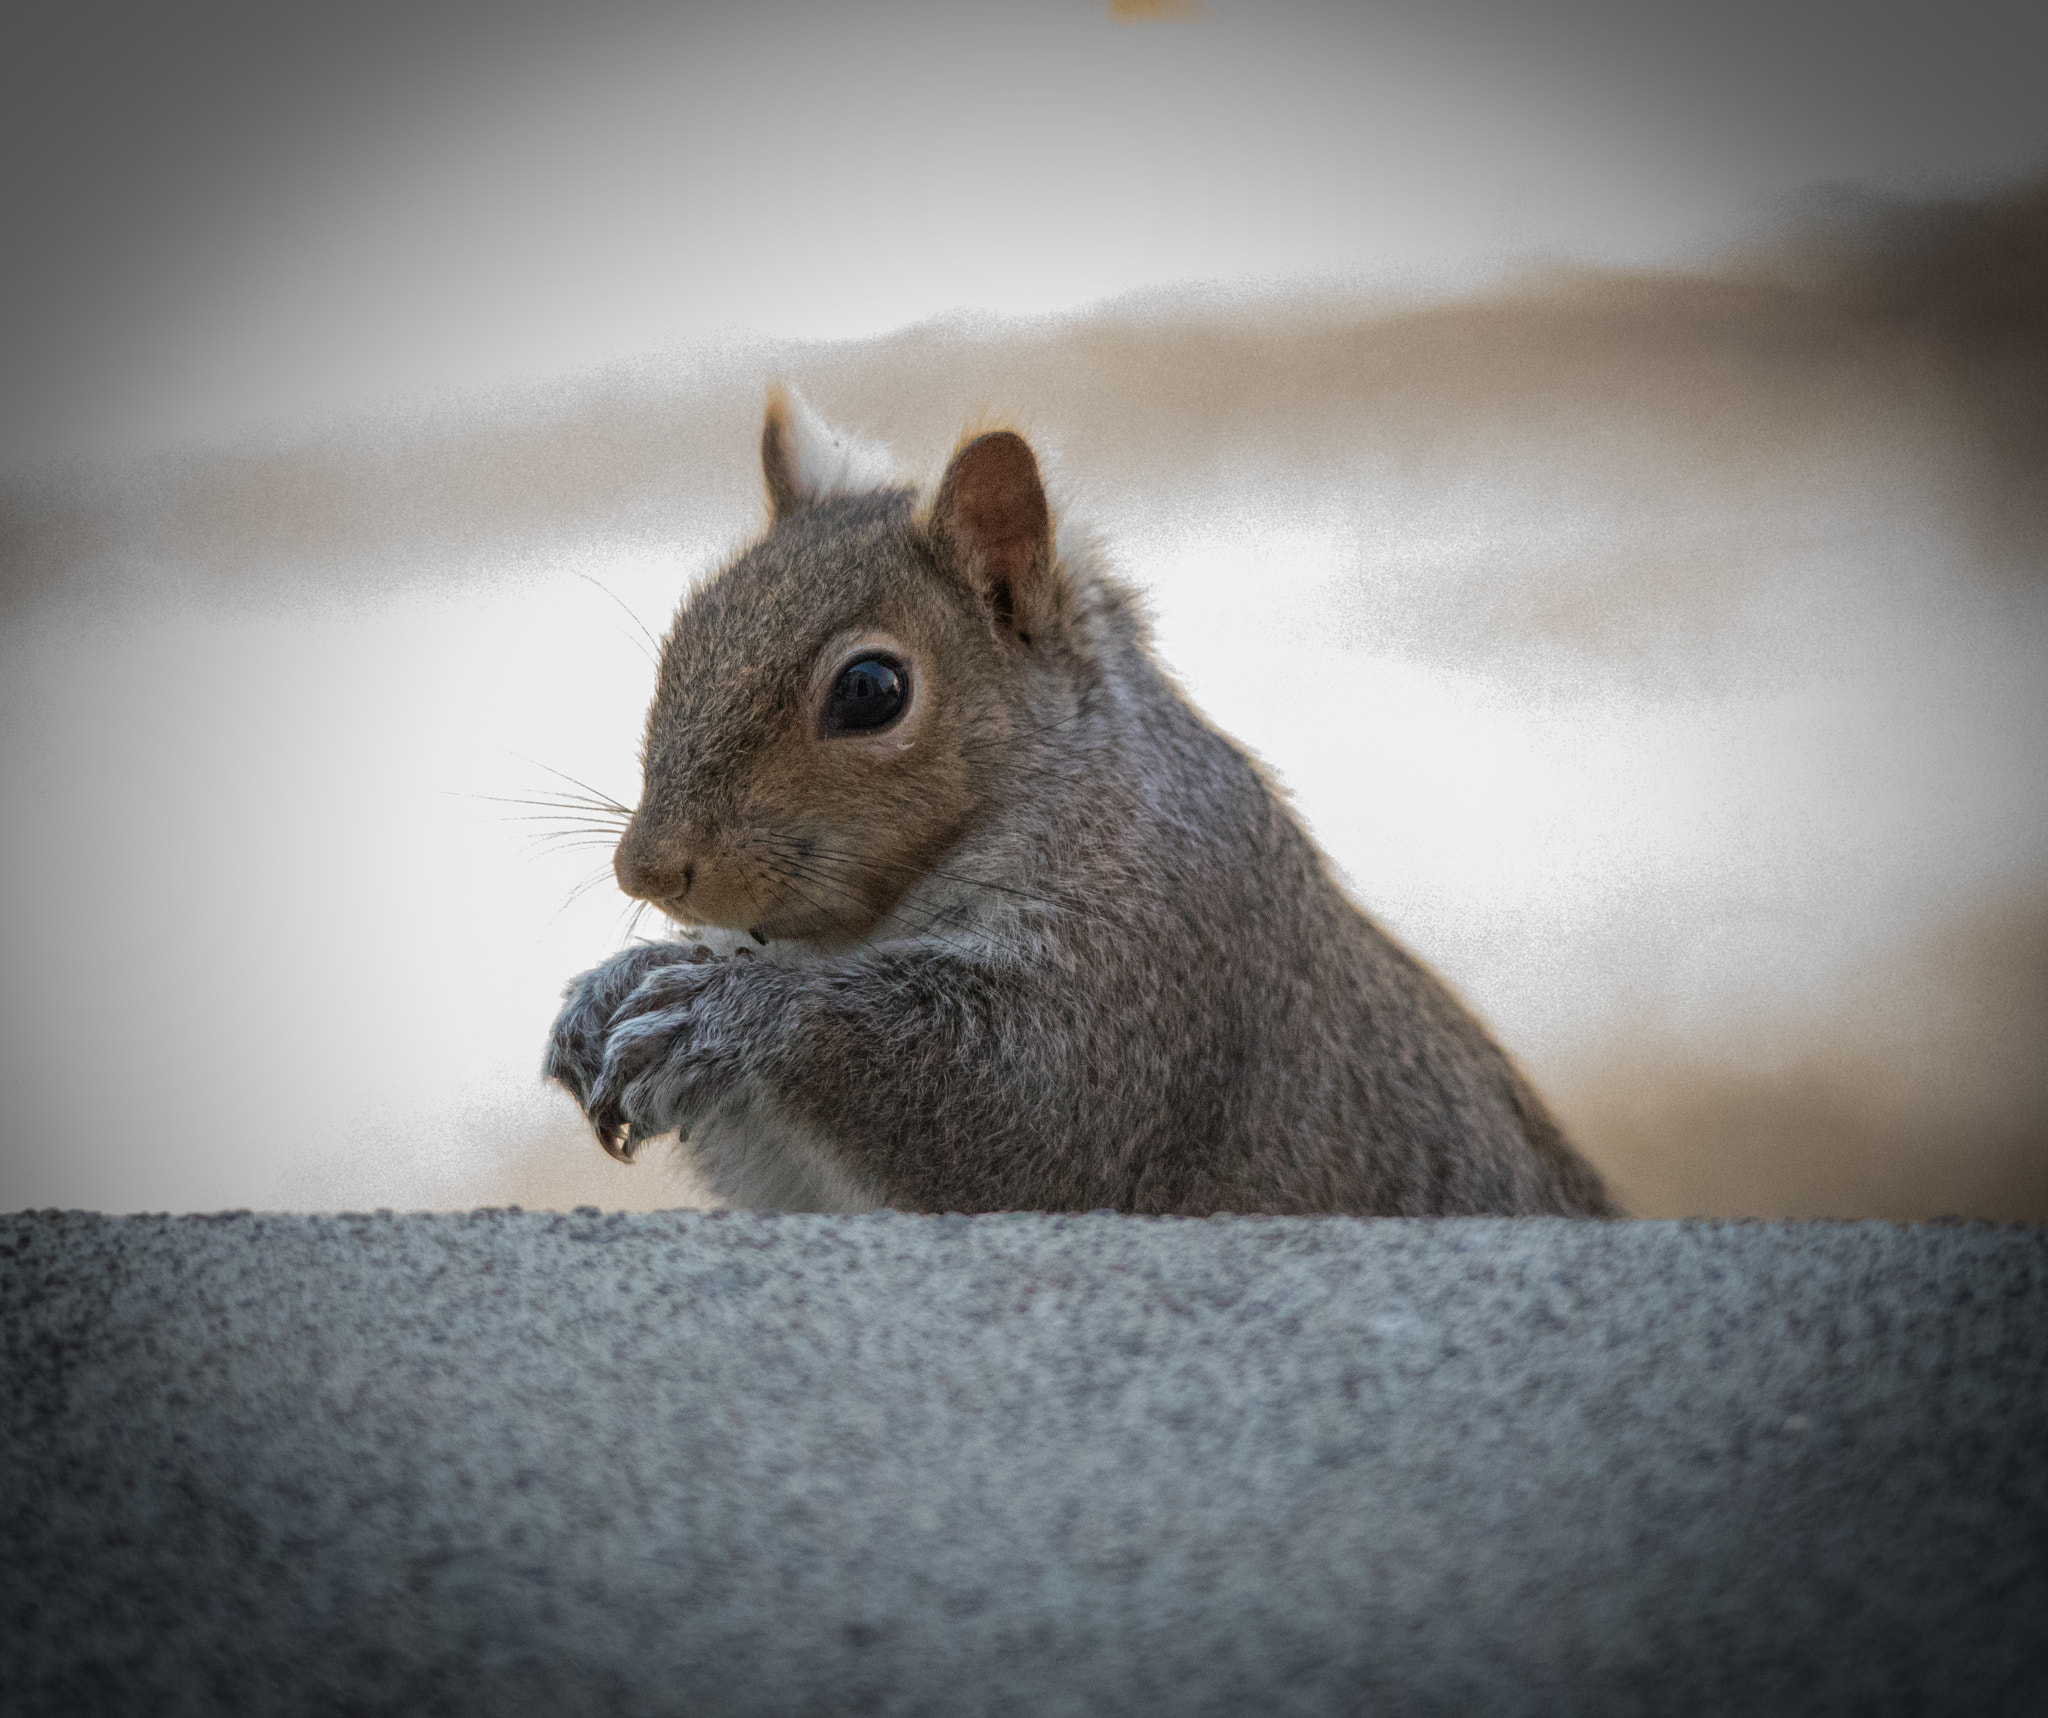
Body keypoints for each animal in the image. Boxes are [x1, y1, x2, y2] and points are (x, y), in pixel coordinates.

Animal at [540, 389, 1613, 1220]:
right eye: (686, 635)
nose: (644, 868)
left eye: (871, 691)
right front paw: (613, 988)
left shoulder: (1157, 957)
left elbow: (1034, 1114)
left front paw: (724, 1015)